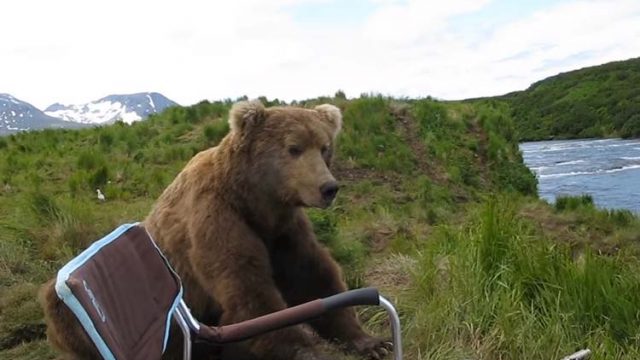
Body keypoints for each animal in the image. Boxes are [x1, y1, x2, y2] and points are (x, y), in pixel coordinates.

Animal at [41, 101, 390, 360]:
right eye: (294, 148)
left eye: (325, 147)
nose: (328, 188)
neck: (254, 200)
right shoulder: (216, 219)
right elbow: (249, 293)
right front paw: (310, 350)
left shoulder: (283, 230)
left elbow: (313, 277)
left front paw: (371, 341)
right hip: (70, 309)